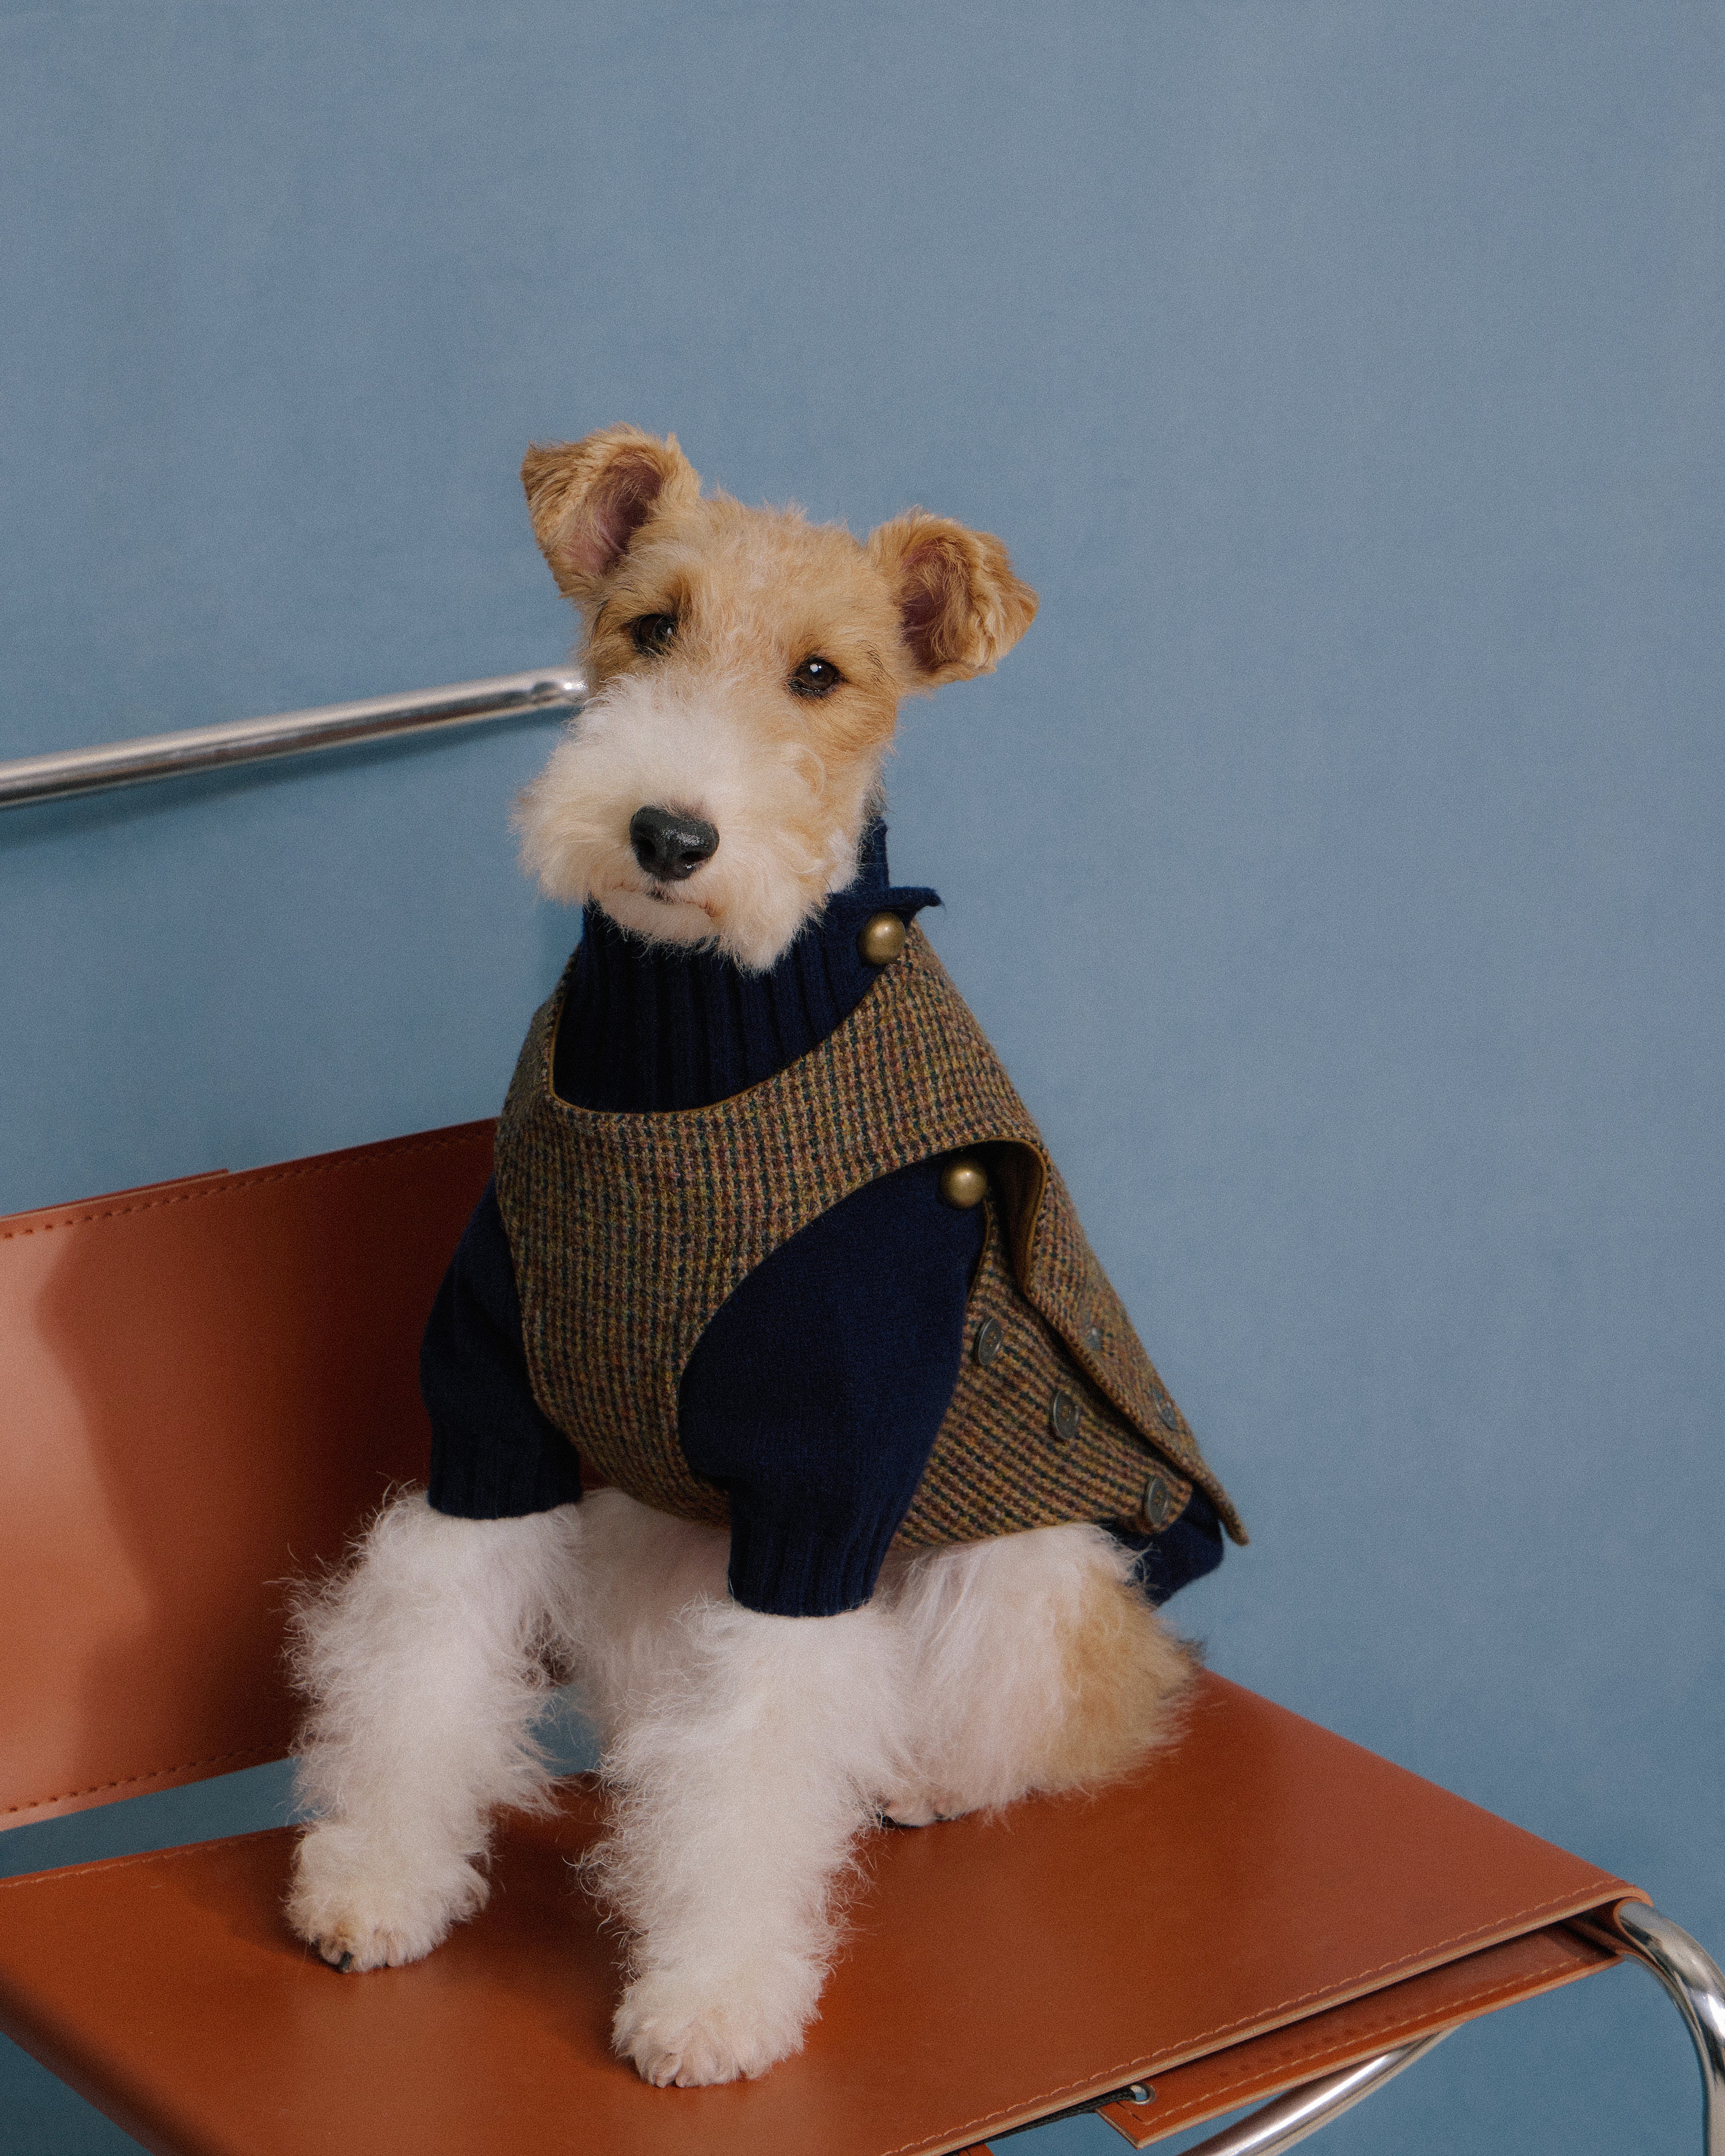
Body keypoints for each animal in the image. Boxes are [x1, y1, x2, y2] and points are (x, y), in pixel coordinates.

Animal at [287, 420, 1242, 2087]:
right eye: (650, 625)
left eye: (821, 673)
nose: (671, 834)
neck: (694, 1049)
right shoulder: (492, 1426)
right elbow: (422, 1663)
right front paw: (380, 1878)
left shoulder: (820, 1498)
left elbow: (757, 1764)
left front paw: (711, 1997)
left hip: (1019, 1578)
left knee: (1051, 1720)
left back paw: (924, 1776)